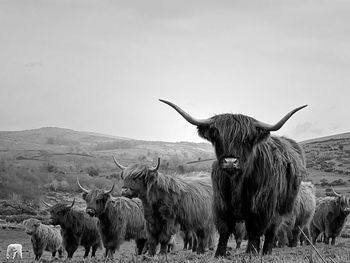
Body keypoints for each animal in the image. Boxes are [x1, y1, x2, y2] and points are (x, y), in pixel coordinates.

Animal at [160, 99, 308, 256]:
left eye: (246, 139)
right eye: (218, 137)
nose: (230, 162)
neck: (237, 181)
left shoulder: (261, 207)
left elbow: (254, 230)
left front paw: (251, 252)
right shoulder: (222, 204)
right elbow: (224, 230)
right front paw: (219, 253)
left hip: (281, 207)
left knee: (272, 229)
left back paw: (266, 251)